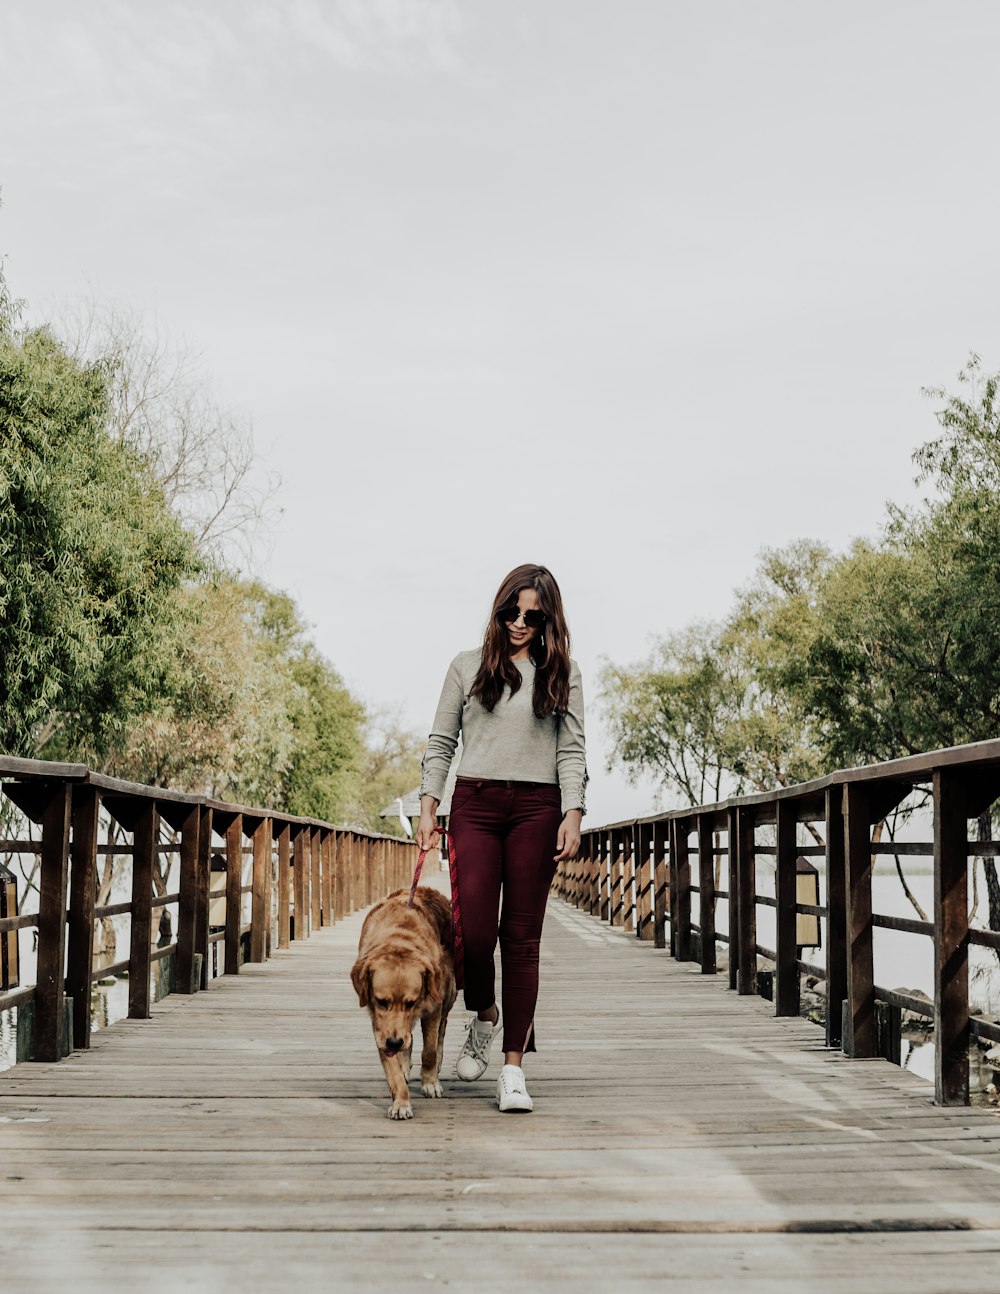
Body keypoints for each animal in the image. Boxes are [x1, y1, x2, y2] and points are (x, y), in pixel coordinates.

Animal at [346, 885, 455, 1118]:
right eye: (381, 1001)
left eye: (411, 1003)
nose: (394, 1043)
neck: (399, 940)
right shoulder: (380, 1025)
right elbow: (393, 1069)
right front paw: (401, 1102)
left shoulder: (432, 1007)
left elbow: (430, 1050)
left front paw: (430, 1082)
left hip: (448, 992)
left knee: (441, 1030)